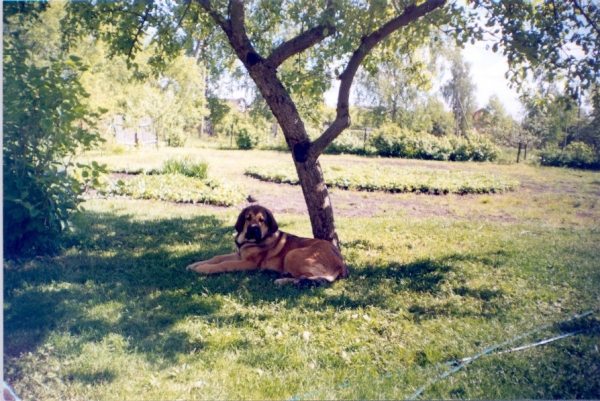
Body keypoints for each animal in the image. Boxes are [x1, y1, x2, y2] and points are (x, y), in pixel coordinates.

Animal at [185, 203, 350, 284]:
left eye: (262, 220)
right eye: (248, 218)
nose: (253, 230)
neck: (246, 241)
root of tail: (341, 265)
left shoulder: (248, 263)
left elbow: (224, 264)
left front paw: (203, 269)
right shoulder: (238, 255)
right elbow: (217, 258)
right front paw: (195, 265)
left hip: (293, 254)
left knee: (307, 278)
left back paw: (283, 280)